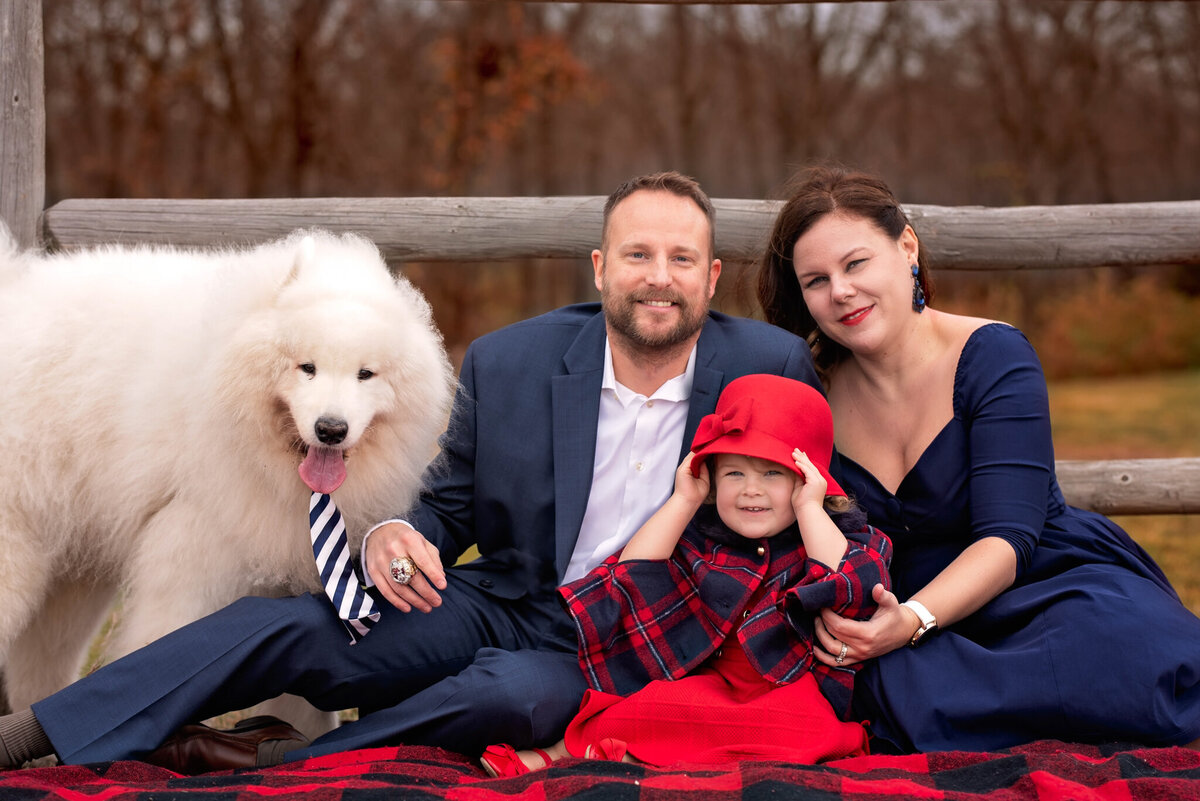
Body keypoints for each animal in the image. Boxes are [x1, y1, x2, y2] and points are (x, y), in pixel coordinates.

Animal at [0, 226, 453, 733]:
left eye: (365, 374)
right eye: (307, 367)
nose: (331, 429)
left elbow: (305, 703)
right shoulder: (191, 556)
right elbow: (162, 648)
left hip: (70, 573)